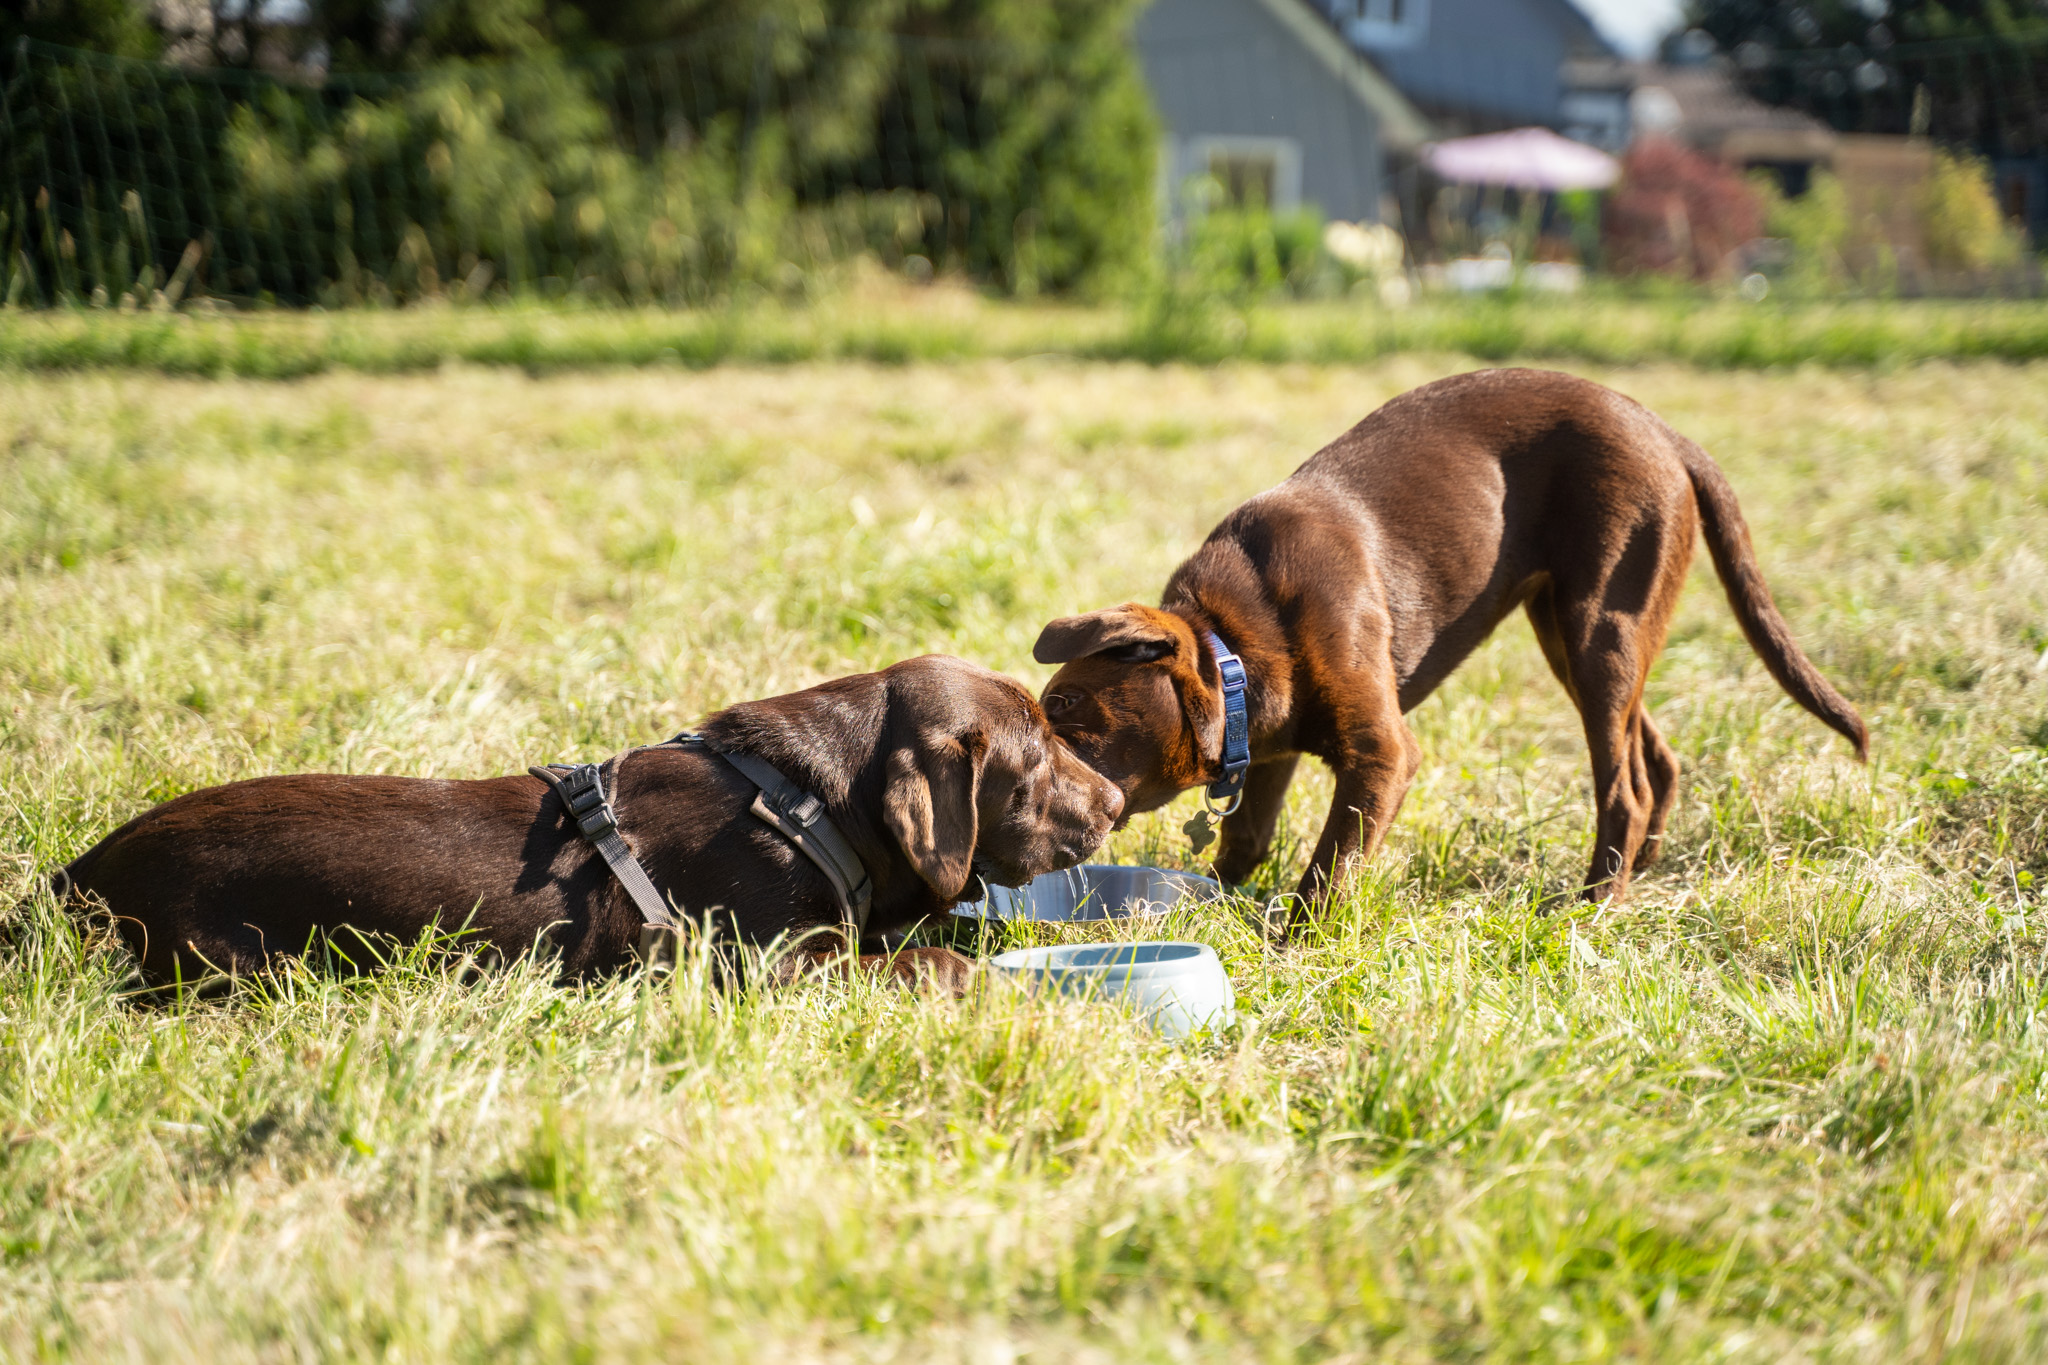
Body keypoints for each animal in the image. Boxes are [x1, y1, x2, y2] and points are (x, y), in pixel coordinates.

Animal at [55, 655, 1123, 991]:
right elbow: (924, 955)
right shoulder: (766, 960)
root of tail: (78, 873)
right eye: (1036, 760)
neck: (808, 800)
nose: (1116, 805)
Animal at [1033, 368, 1866, 920]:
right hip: (1578, 633)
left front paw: (1290, 946)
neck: (1235, 636)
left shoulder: (1381, 751)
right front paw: (1227, 893)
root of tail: (1665, 430)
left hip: (1600, 627)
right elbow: (1249, 832)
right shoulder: (1275, 740)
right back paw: (1641, 871)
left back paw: (1592, 903)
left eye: (1066, 706)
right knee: (1654, 754)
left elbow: (1328, 868)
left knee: (1622, 784)